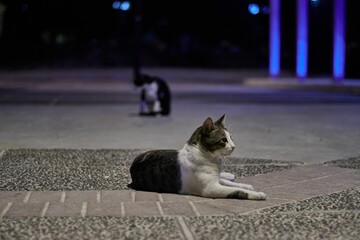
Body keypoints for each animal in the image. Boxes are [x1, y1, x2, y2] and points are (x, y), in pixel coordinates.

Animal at [128, 114, 266, 201]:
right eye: (223, 140)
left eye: (231, 138)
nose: (234, 146)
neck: (213, 159)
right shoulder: (211, 188)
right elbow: (235, 190)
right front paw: (257, 194)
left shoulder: (215, 180)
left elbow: (232, 185)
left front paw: (245, 185)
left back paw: (229, 175)